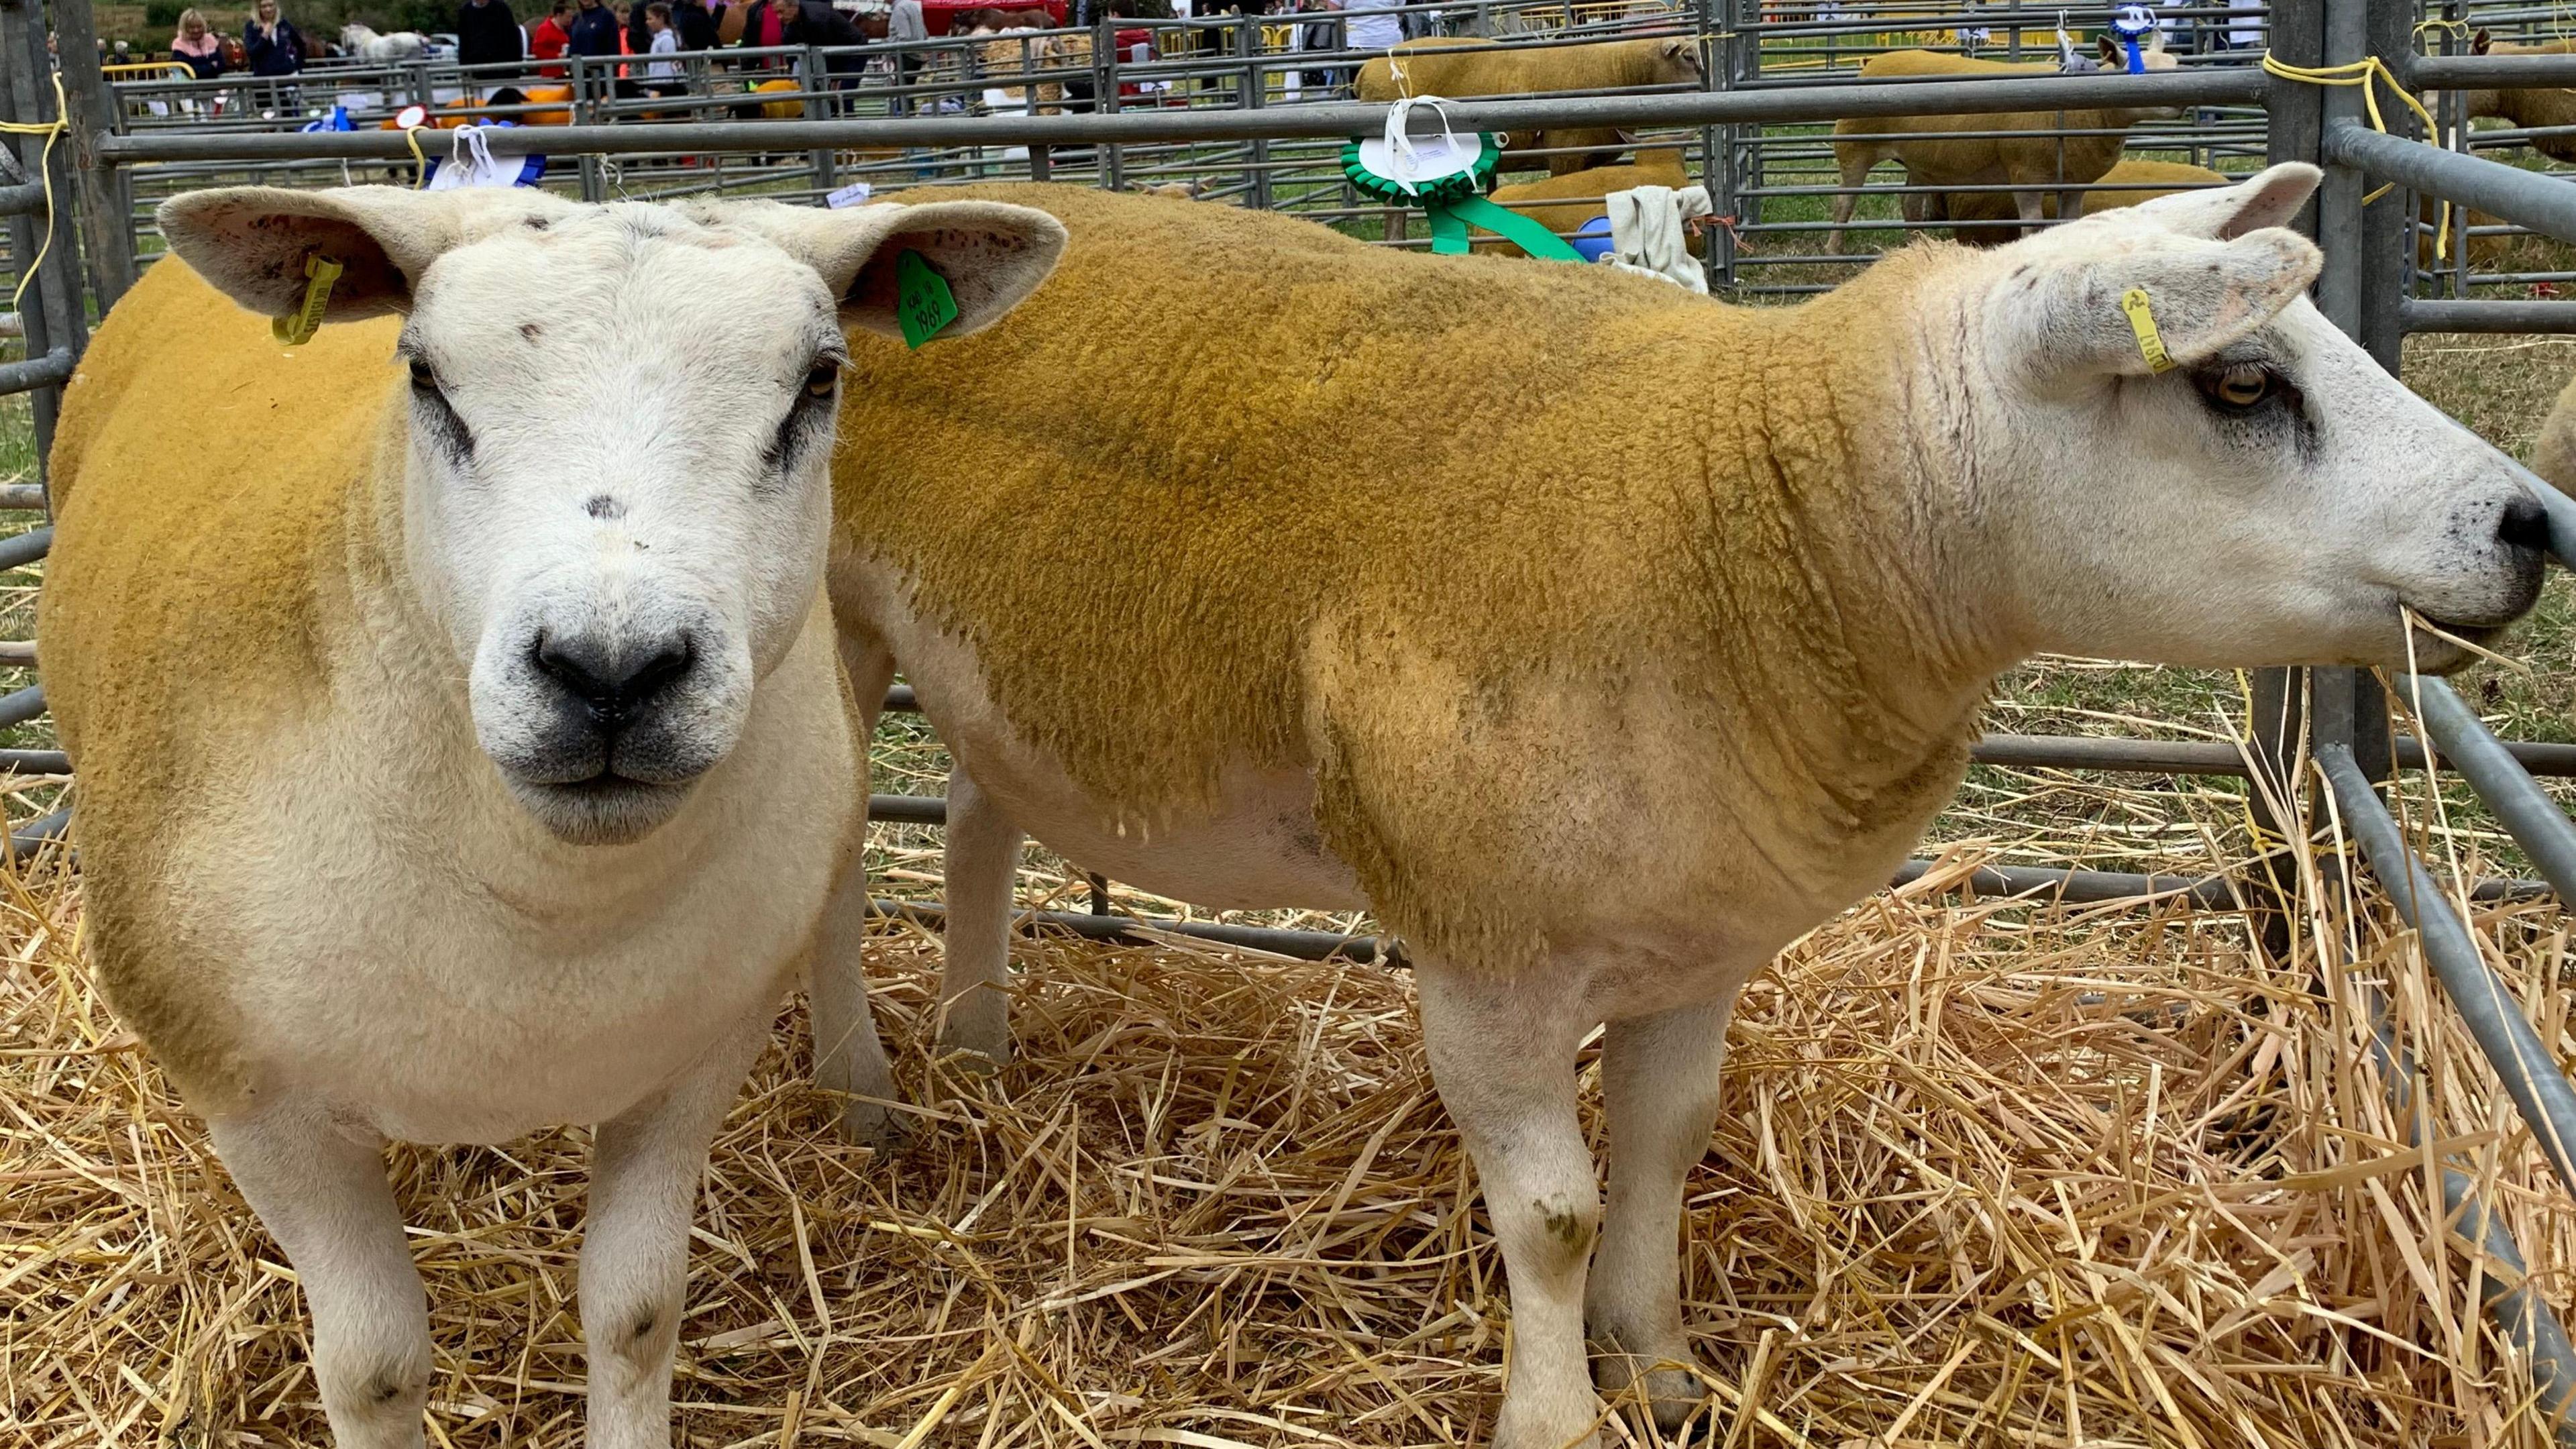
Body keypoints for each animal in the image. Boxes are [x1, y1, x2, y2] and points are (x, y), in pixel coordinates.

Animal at [41, 184, 1064, 1449]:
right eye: (424, 375)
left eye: (818, 381)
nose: (612, 672)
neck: (547, 908)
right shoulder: (260, 1102)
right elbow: (373, 1370)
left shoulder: (694, 1059)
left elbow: (636, 1313)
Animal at [810, 167, 2549, 1449]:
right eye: (2244, 382)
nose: (2535, 524)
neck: (1753, 511)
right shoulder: (1483, 952)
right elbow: (1554, 1215)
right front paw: (1555, 1414)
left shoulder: (1702, 933)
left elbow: (1660, 1149)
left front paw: (1658, 1369)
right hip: (829, 633)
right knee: (833, 871)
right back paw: (867, 1096)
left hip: (987, 671)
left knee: (973, 829)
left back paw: (978, 1049)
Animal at [1826, 35, 2180, 254]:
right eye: (2139, 70)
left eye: (2174, 65)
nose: (2182, 102)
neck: (2088, 111)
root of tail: (1873, 63)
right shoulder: (2026, 175)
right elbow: (2032, 225)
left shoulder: (2075, 183)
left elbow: (2069, 222)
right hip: (1854, 146)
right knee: (1844, 203)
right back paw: (1834, 250)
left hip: (1921, 160)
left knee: (1910, 203)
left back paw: (1917, 245)